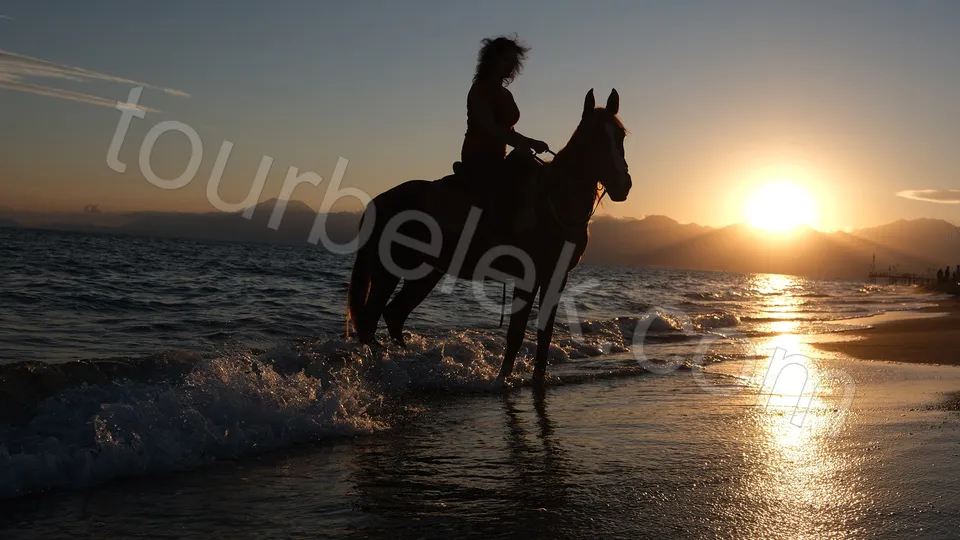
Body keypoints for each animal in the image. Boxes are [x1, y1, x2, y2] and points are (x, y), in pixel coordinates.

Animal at [346, 88, 632, 385]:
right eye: (594, 137)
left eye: (620, 135)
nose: (623, 185)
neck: (554, 199)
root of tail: (379, 201)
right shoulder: (529, 277)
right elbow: (516, 332)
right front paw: (501, 379)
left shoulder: (556, 277)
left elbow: (545, 334)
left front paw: (537, 381)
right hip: (388, 270)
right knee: (369, 321)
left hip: (425, 272)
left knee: (393, 315)